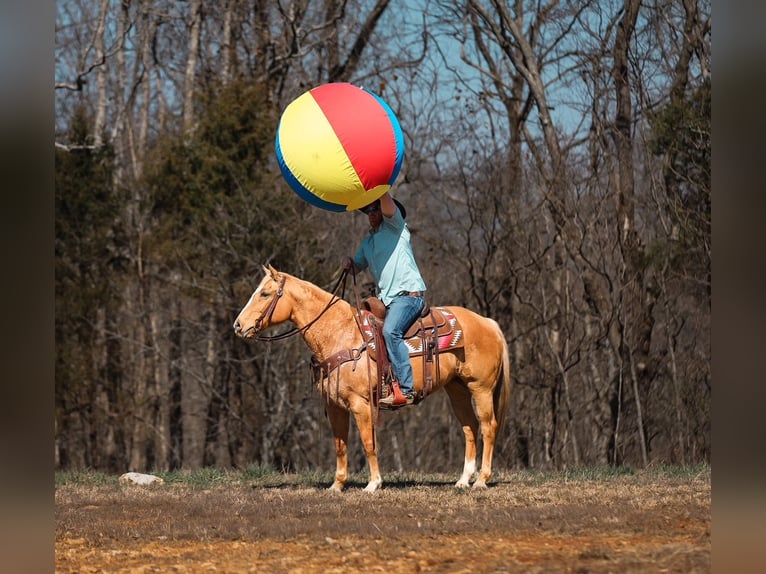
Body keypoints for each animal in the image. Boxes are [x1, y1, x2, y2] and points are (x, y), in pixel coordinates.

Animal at [233, 265, 511, 492]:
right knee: (470, 427)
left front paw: (373, 484)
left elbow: (368, 442)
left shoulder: (361, 404)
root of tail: (488, 323)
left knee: (488, 426)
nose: (238, 326)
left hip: (481, 388)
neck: (341, 334)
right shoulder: (334, 405)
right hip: (457, 390)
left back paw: (482, 480)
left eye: (265, 294)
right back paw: (463, 480)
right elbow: (340, 444)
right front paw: (337, 485)